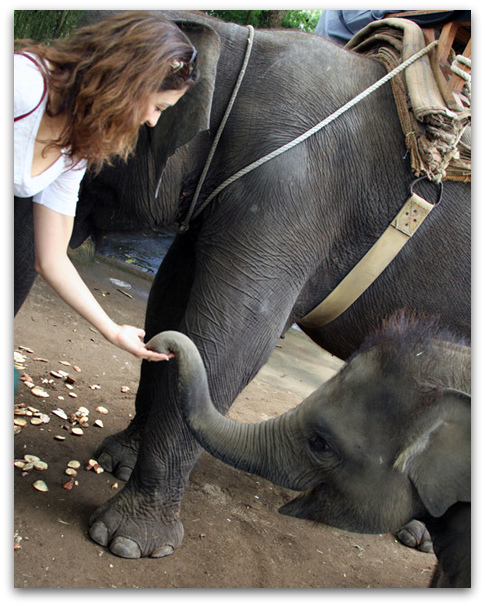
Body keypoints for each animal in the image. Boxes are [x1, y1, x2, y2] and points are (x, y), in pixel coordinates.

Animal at [73, 10, 470, 560]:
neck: (237, 50)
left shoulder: (296, 192)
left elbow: (232, 337)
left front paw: (126, 542)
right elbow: (170, 301)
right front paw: (115, 460)